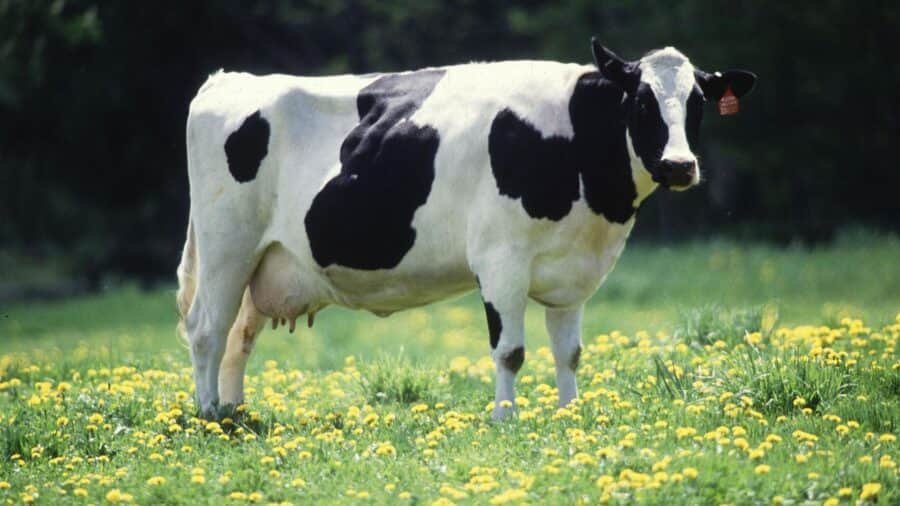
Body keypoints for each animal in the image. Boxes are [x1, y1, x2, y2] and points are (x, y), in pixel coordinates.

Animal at [176, 38, 756, 419]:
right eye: (640, 100)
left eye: (698, 103)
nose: (679, 165)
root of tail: (228, 79)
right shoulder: (501, 260)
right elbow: (511, 351)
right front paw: (505, 419)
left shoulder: (574, 272)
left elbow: (569, 351)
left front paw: (570, 415)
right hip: (227, 245)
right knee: (207, 329)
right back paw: (209, 416)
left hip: (265, 261)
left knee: (239, 336)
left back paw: (236, 413)